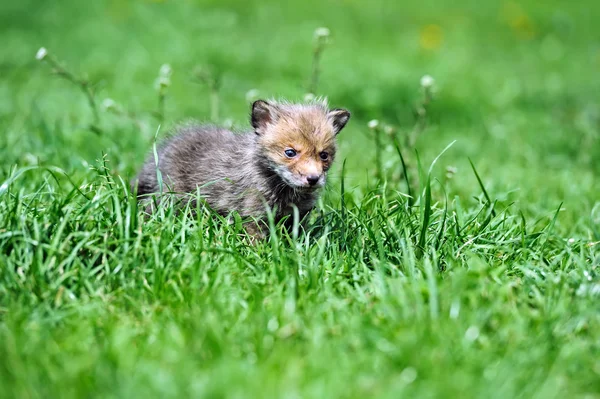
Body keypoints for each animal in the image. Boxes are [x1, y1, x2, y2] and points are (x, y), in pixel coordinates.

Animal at [135, 99, 352, 239]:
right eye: (290, 152)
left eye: (324, 155)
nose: (313, 179)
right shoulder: (254, 216)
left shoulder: (299, 216)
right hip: (170, 198)